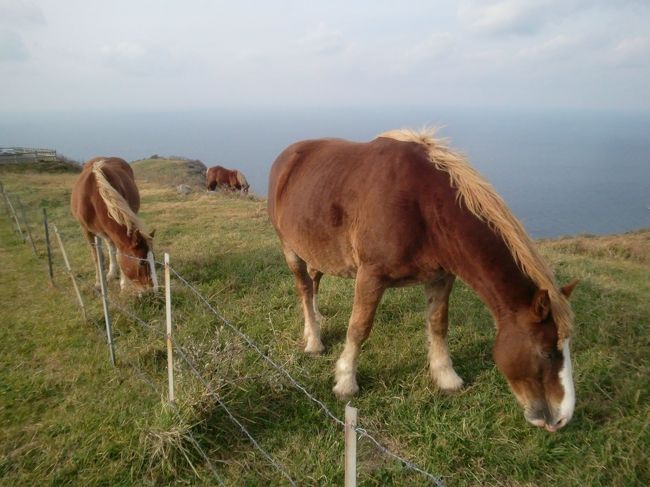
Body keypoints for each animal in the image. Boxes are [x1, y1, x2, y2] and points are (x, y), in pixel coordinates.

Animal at [71, 157, 157, 294]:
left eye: (153, 258)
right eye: (141, 263)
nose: (153, 290)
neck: (93, 196)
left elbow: (118, 254)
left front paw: (124, 285)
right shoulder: (87, 231)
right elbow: (97, 257)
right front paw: (99, 282)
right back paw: (110, 274)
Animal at [268, 130, 576, 434]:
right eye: (547, 352)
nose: (562, 418)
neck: (422, 206)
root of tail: (287, 155)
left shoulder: (441, 277)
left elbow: (438, 324)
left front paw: (446, 377)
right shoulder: (371, 275)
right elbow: (358, 328)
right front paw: (345, 382)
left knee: (314, 280)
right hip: (289, 247)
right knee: (304, 287)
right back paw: (314, 340)